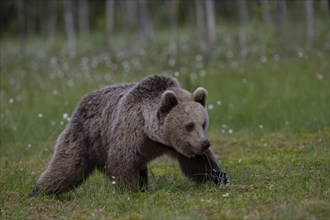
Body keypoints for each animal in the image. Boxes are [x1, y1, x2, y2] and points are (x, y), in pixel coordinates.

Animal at [29, 74, 228, 196]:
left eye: (203, 124)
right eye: (189, 125)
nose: (205, 143)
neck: (153, 135)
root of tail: (84, 99)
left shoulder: (178, 145)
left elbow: (197, 163)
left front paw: (219, 176)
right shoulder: (131, 133)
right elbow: (122, 163)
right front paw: (130, 191)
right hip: (86, 135)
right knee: (68, 166)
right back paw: (39, 191)